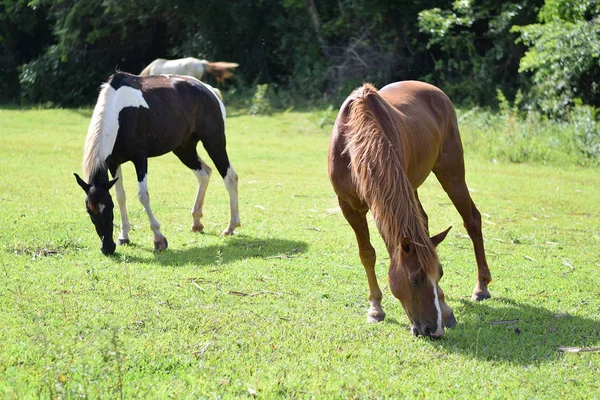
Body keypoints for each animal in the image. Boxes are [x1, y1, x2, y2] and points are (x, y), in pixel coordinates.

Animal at [76, 72, 240, 255]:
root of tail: (209, 90)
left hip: (214, 143)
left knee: (230, 177)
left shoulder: (140, 159)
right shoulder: (113, 163)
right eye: (89, 210)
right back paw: (197, 222)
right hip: (184, 149)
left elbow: (142, 196)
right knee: (204, 174)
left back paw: (231, 226)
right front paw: (124, 235)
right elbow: (121, 196)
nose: (107, 247)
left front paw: (158, 238)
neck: (119, 112)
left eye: (109, 208)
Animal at [328, 80, 492, 338]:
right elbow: (367, 254)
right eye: (415, 279)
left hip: (451, 173)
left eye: (441, 273)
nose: (434, 330)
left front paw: (445, 307)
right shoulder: (349, 207)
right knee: (424, 220)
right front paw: (375, 308)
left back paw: (481, 287)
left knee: (472, 220)